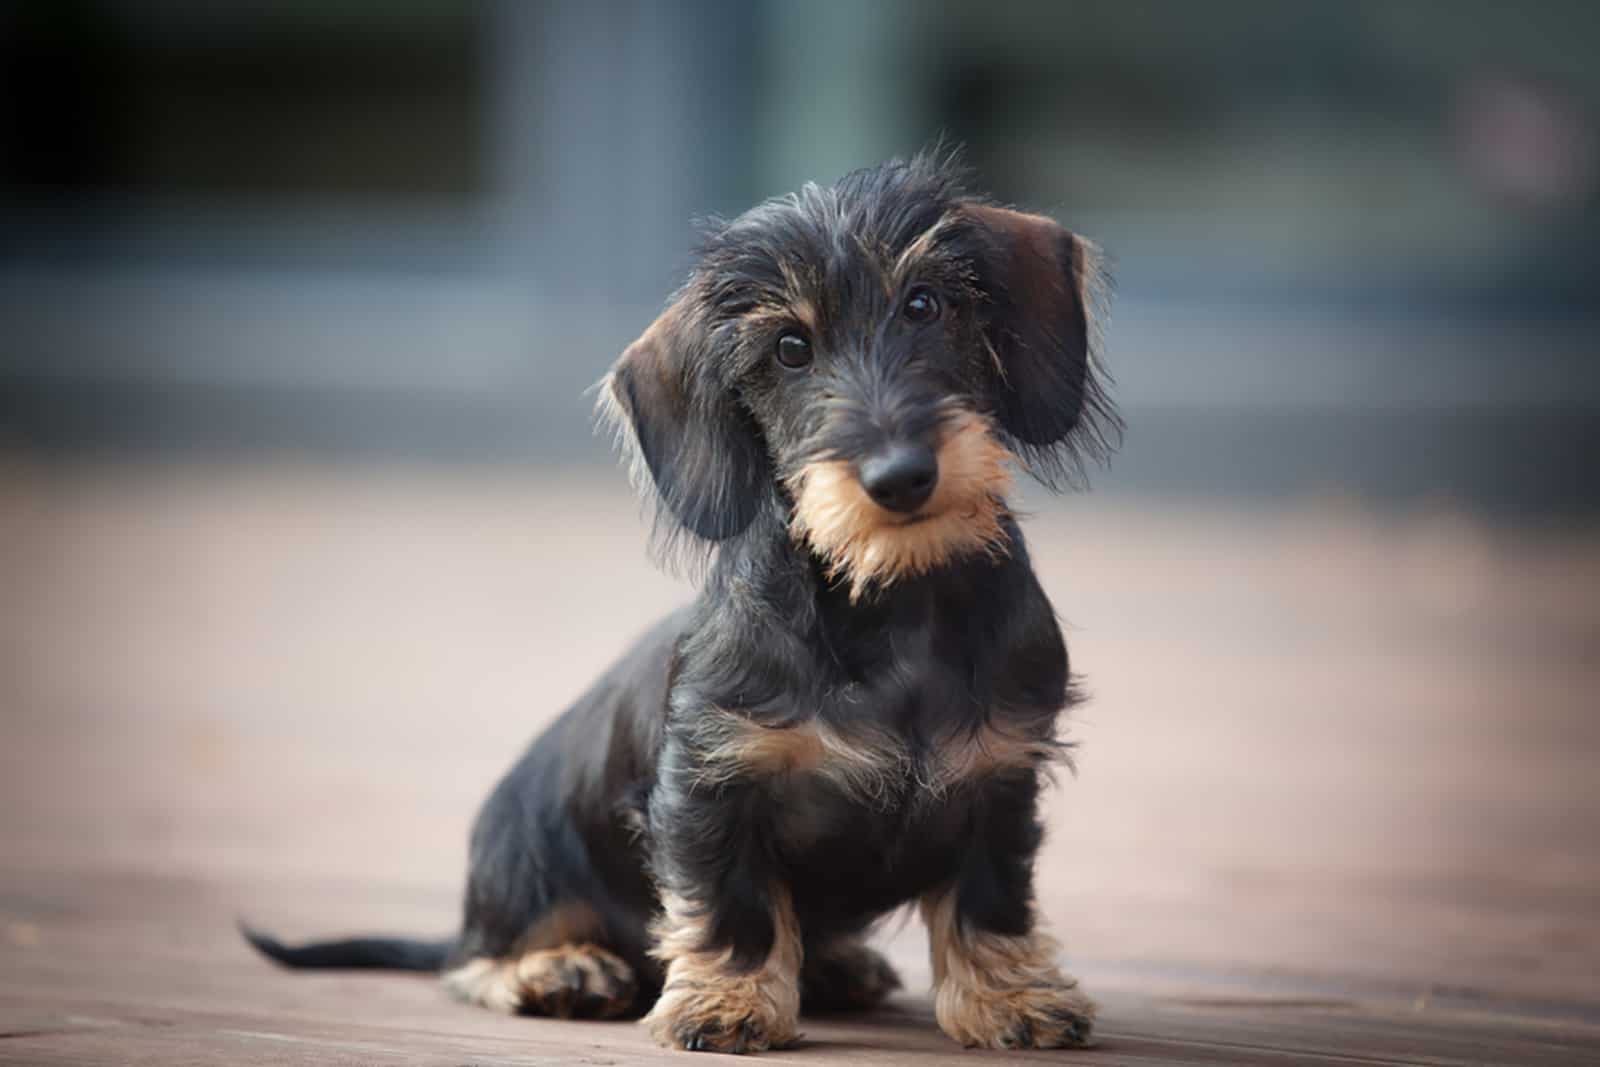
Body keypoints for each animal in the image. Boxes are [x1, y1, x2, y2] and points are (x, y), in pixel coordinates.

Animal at [243, 154, 1120, 1055]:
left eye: (924, 304)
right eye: (790, 348)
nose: (901, 476)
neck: (890, 606)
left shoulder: (999, 772)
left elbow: (991, 901)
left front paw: (1012, 998)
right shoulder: (710, 784)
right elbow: (734, 907)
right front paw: (726, 1003)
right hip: (526, 859)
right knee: (474, 960)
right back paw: (558, 968)